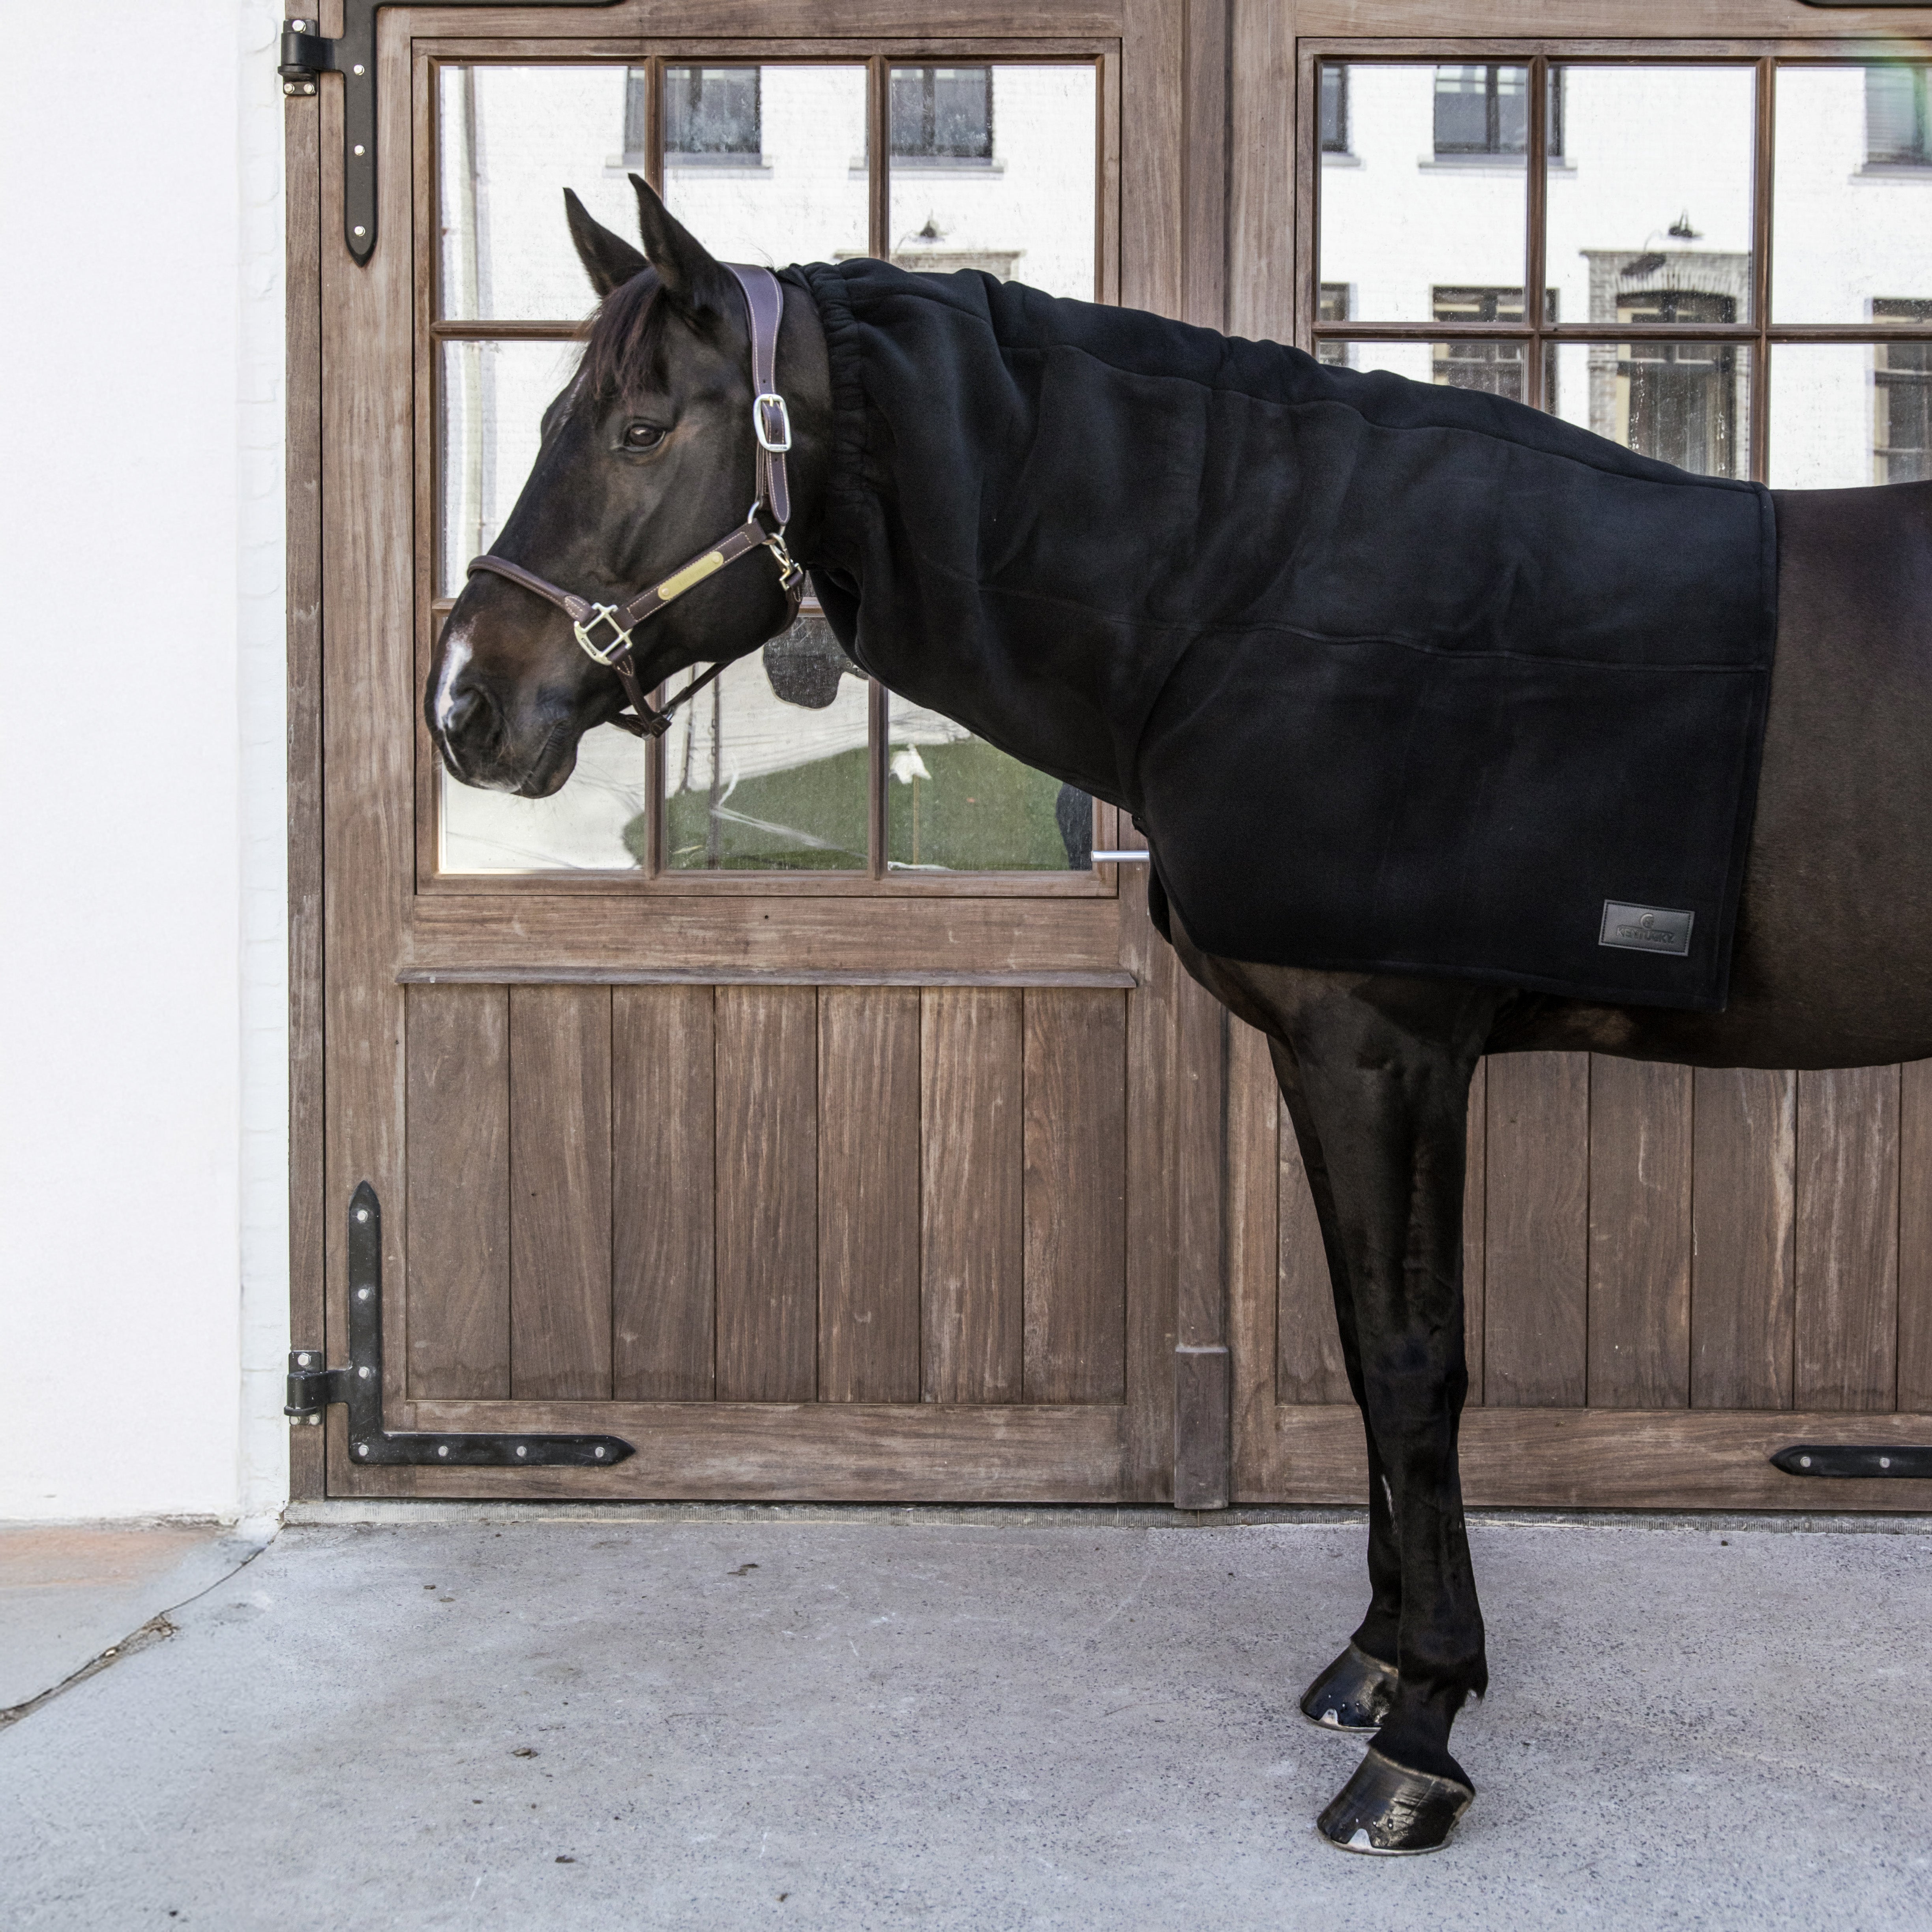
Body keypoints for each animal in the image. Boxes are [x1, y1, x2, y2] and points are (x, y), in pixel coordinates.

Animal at [426, 176, 1932, 1854]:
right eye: (549, 416)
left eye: (638, 430)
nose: (466, 706)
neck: (1261, 592)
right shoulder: (1327, 1054)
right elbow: (1358, 1343)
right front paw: (1373, 1658)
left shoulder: (1386, 1049)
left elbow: (1412, 1360)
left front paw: (1419, 1733)